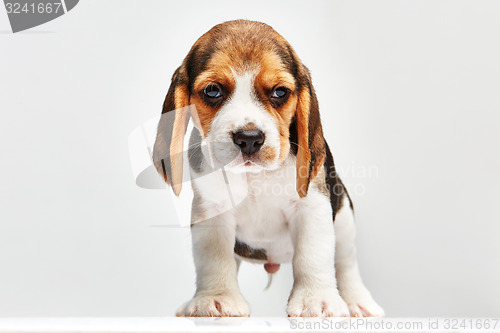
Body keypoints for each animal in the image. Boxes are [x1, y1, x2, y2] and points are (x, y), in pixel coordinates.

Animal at [152, 20, 382, 316]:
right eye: (212, 91)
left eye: (279, 92)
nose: (249, 138)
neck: (254, 177)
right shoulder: (211, 212)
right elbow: (213, 257)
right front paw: (215, 298)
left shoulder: (313, 206)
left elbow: (313, 255)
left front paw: (315, 299)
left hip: (343, 219)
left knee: (345, 263)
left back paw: (357, 302)